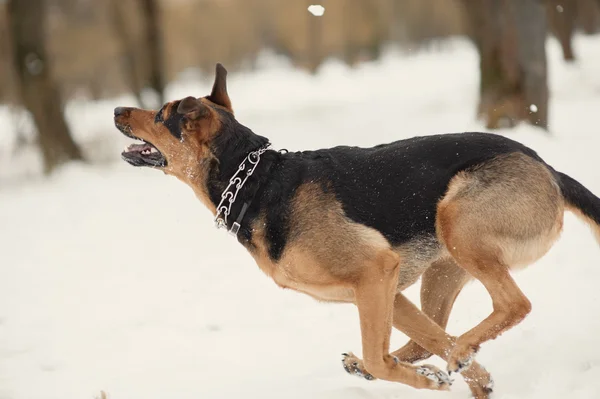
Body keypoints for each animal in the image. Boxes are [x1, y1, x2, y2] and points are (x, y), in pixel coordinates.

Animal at [112, 64, 600, 398]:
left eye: (161, 115)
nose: (117, 109)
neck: (256, 181)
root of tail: (548, 168)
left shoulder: (375, 271)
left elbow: (382, 357)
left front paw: (430, 380)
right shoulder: (383, 290)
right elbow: (410, 345)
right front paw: (455, 378)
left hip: (456, 221)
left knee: (512, 306)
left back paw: (458, 354)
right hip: (441, 269)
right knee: (433, 337)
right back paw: (453, 364)